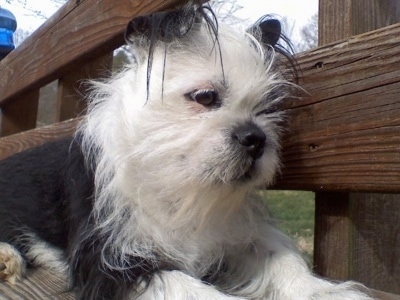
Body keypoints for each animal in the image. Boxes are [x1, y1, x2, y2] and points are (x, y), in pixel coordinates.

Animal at [0, 2, 374, 300]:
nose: (256, 138)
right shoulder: (110, 261)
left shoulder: (236, 232)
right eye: (205, 97)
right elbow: (186, 286)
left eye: (268, 108)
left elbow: (280, 255)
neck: (179, 186)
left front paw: (322, 291)